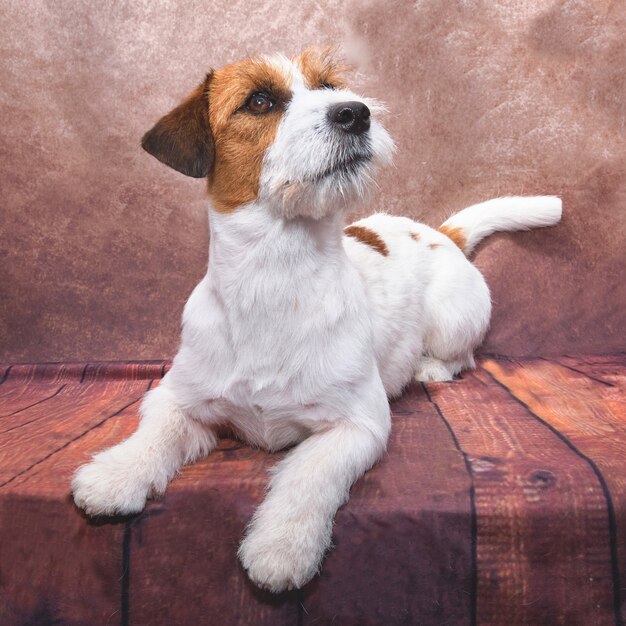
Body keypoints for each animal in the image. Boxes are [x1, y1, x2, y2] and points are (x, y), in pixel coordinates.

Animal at [73, 46, 560, 588]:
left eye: (329, 87)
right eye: (259, 101)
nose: (354, 112)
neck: (274, 279)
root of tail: (439, 233)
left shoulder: (357, 425)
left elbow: (309, 474)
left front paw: (283, 544)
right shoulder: (178, 396)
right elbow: (155, 433)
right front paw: (115, 474)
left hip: (454, 319)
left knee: (465, 356)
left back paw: (430, 368)